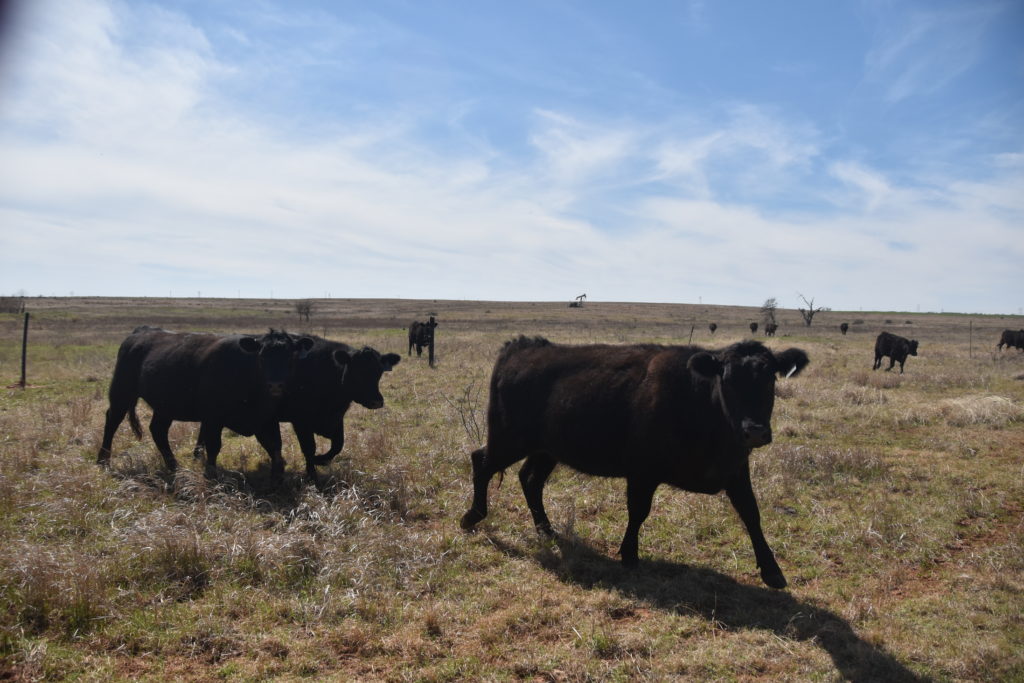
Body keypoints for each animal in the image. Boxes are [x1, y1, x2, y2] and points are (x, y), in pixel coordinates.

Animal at [462, 335, 806, 589]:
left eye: (770, 379)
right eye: (728, 380)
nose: (754, 431)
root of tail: (522, 346)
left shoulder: (735, 470)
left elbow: (751, 514)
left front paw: (772, 571)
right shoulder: (643, 472)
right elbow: (638, 512)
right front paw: (629, 554)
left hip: (546, 449)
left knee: (529, 480)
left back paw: (546, 530)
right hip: (508, 439)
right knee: (482, 462)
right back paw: (471, 517)